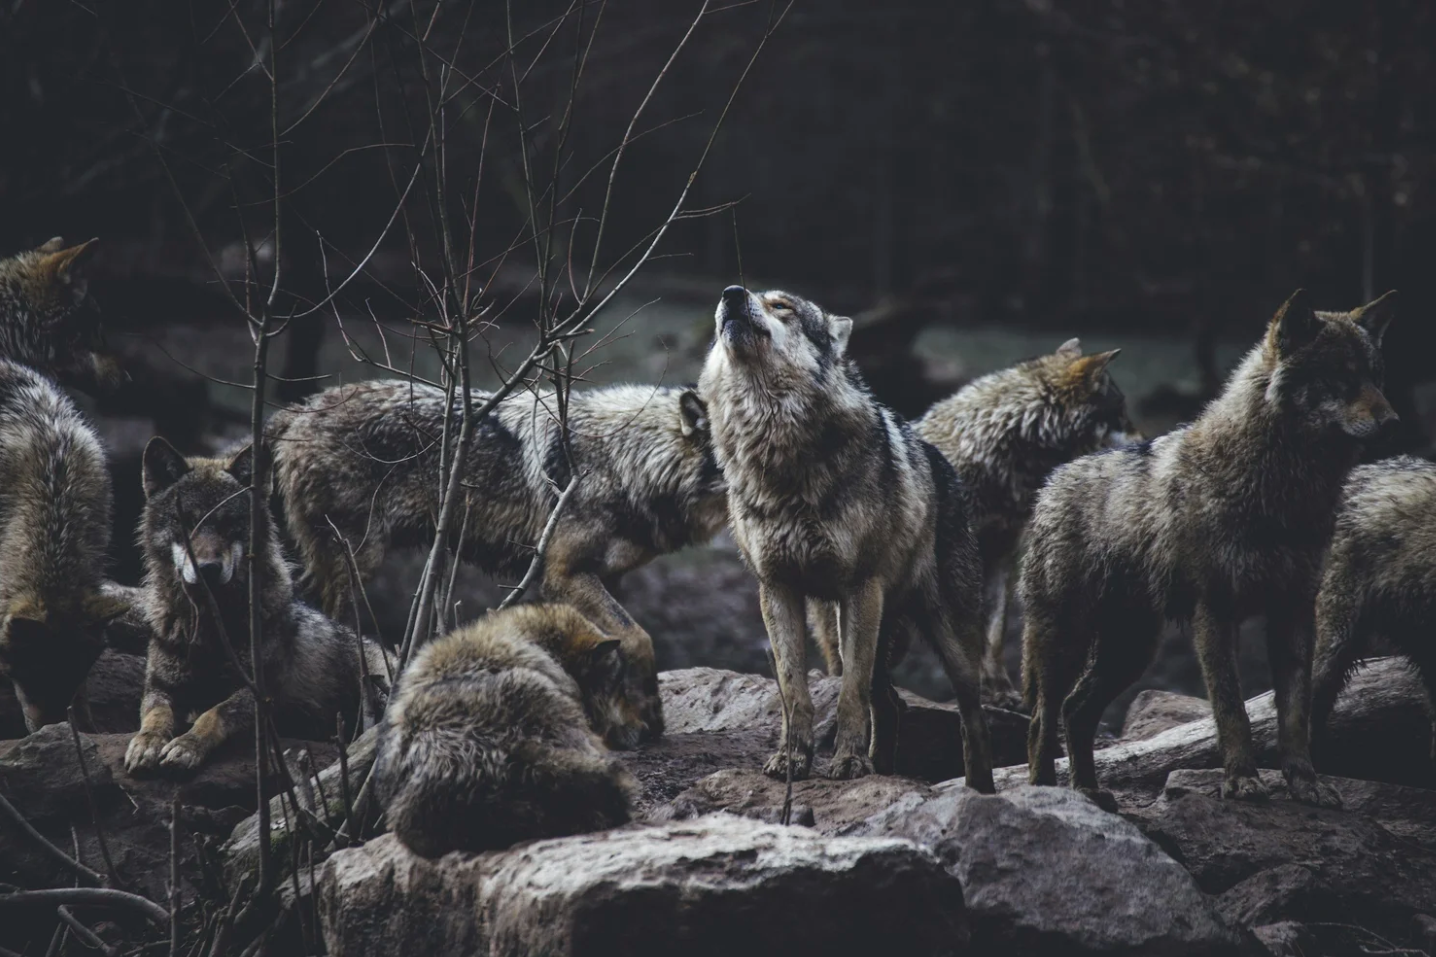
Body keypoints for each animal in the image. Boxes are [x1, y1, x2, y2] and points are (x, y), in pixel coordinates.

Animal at [124, 438, 393, 775]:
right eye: (186, 521)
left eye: (230, 523)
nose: (208, 569)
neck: (210, 628)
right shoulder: (160, 687)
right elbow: (155, 715)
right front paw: (146, 743)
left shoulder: (259, 694)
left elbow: (213, 714)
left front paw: (186, 746)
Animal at [267, 379, 727, 740]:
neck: (627, 460)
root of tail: (299, 409)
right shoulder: (563, 574)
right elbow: (639, 637)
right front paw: (650, 715)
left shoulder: (605, 578)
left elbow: (615, 648)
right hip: (356, 563)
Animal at [699, 285, 993, 788]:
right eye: (740, 295)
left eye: (782, 306)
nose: (732, 294)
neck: (777, 451)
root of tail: (943, 462)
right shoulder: (776, 588)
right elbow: (794, 690)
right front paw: (792, 760)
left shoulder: (860, 588)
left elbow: (849, 693)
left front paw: (850, 763)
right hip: (843, 627)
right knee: (891, 703)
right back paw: (886, 770)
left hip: (946, 639)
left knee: (970, 719)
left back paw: (979, 790)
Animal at [1022, 289, 1398, 808]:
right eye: (1341, 377)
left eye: (1376, 377)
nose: (1393, 422)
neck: (1282, 490)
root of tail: (1052, 480)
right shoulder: (1215, 612)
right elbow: (1231, 709)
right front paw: (1241, 781)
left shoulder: (1295, 612)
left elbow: (1295, 715)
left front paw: (1306, 783)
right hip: (1068, 641)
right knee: (1043, 716)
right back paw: (1047, 794)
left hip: (1131, 650)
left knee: (1076, 710)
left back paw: (1089, 793)